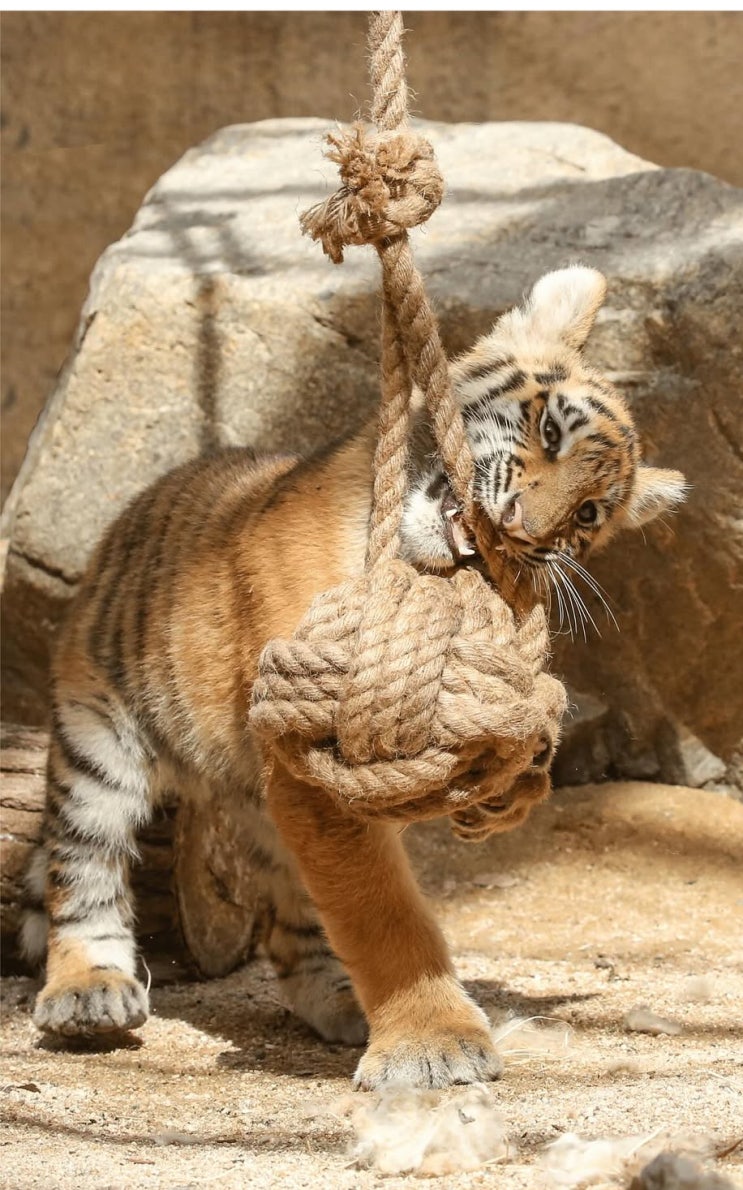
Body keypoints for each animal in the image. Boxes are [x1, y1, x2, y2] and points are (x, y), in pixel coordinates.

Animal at [21, 266, 687, 1090]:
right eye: (551, 433)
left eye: (589, 514)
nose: (524, 532)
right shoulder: (308, 755)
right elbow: (382, 910)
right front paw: (435, 1042)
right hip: (97, 732)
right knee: (83, 865)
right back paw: (88, 991)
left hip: (258, 807)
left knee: (294, 922)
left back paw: (338, 1002)